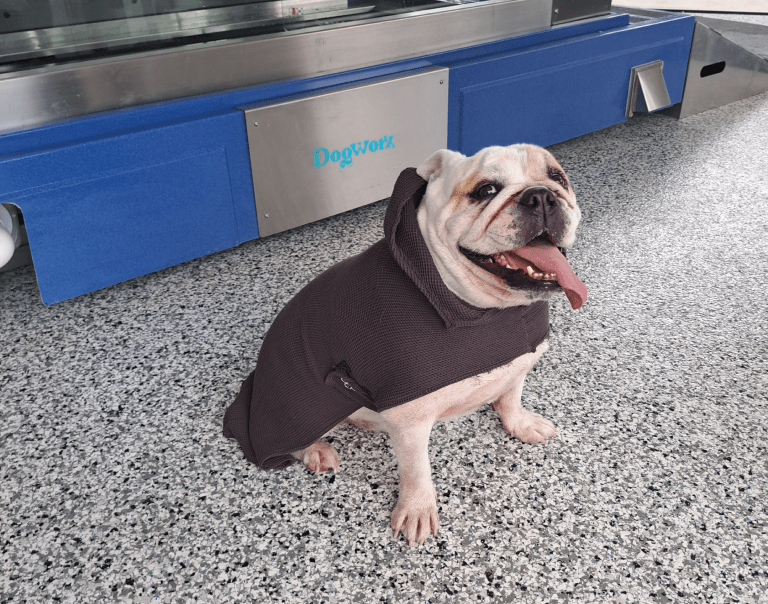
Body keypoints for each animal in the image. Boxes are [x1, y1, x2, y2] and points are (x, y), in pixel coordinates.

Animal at [222, 143, 588, 548]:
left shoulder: (521, 360)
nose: (540, 195)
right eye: (486, 191)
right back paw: (315, 449)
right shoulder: (409, 418)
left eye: (558, 178)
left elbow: (511, 396)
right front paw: (416, 508)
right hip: (303, 400)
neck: (487, 309)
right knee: (286, 436)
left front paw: (520, 424)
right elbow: (416, 469)